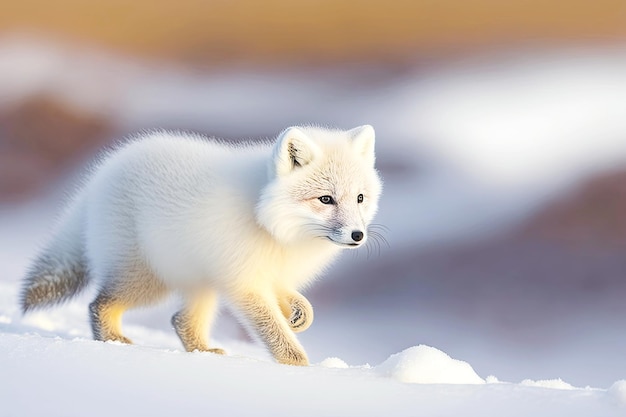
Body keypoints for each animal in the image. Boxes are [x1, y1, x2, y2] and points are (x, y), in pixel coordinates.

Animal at [19, 124, 380, 364]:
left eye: (360, 198)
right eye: (326, 199)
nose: (357, 235)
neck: (269, 221)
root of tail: (99, 177)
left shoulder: (261, 273)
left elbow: (291, 300)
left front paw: (299, 312)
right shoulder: (245, 283)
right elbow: (278, 336)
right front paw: (301, 370)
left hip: (201, 283)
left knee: (180, 320)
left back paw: (205, 353)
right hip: (148, 280)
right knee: (100, 304)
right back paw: (114, 342)